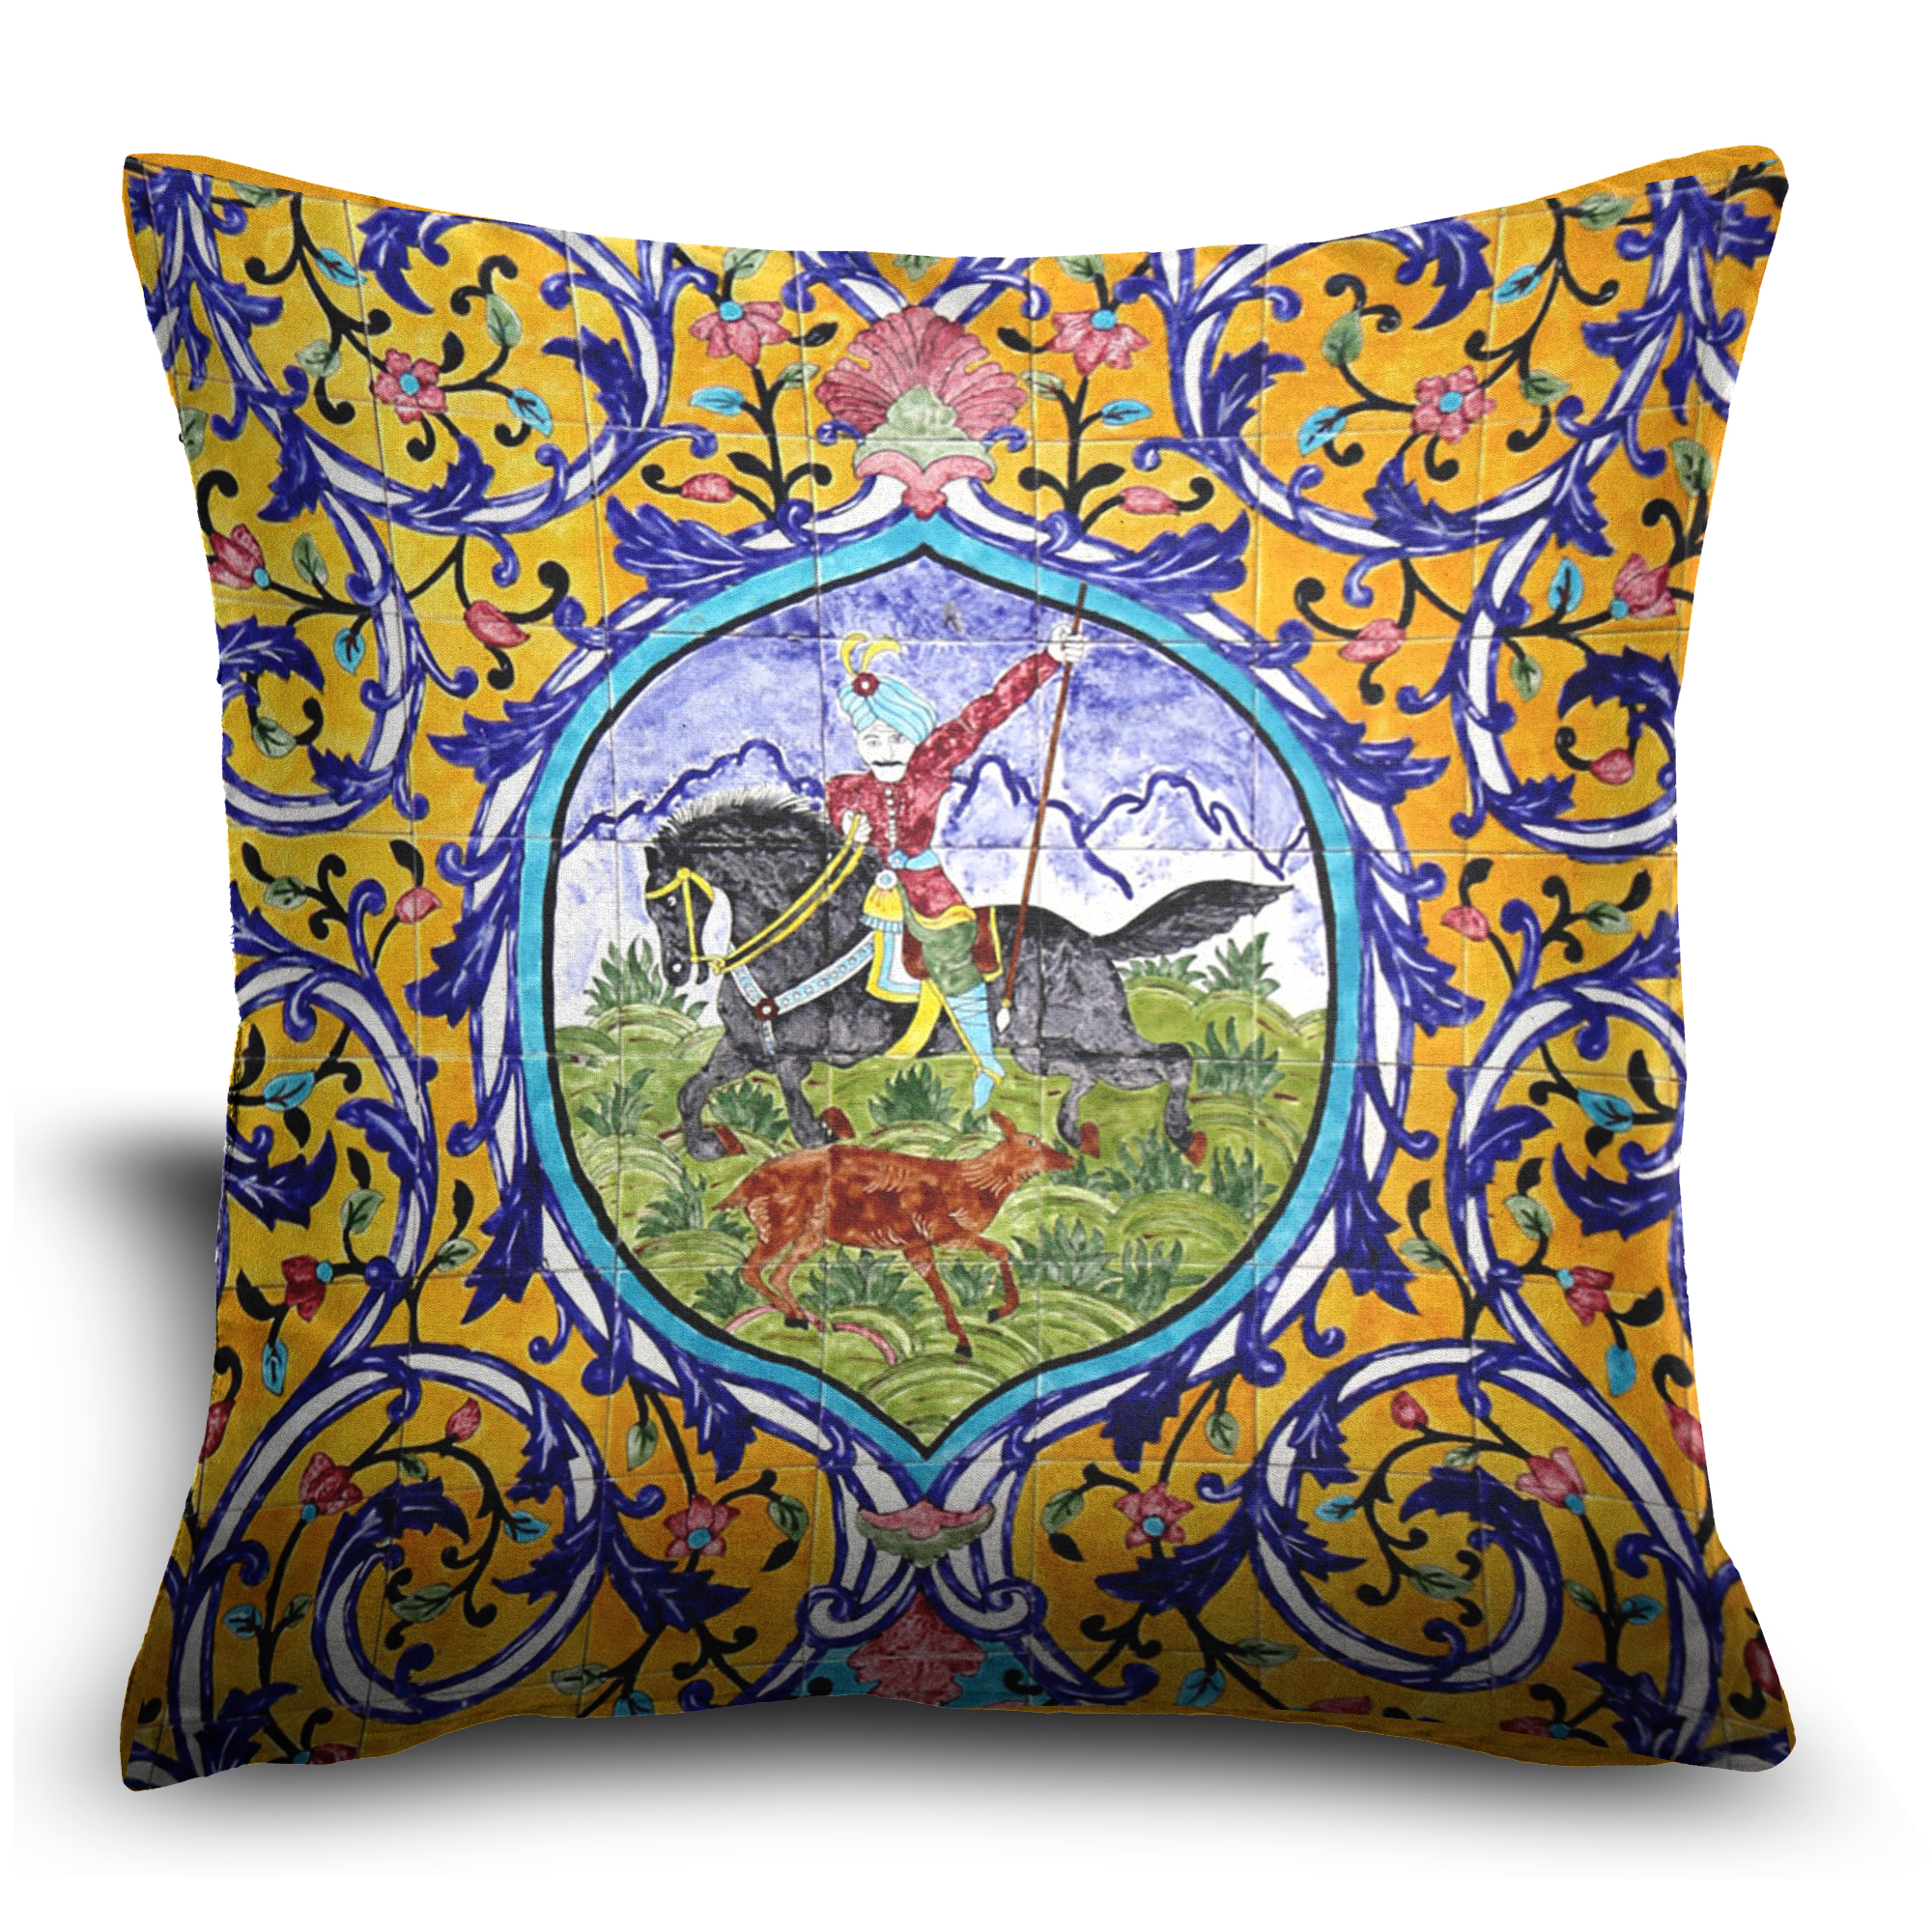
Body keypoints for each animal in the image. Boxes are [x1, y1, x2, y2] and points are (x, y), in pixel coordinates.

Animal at [638, 788, 1286, 1162]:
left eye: (668, 902)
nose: (677, 970)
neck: (801, 940)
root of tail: (1090, 940)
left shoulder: (815, 1047)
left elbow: (793, 1088)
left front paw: (815, 1138)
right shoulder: (744, 1046)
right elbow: (692, 1088)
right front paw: (703, 1146)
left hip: (1100, 1035)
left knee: (1174, 1058)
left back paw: (1179, 1133)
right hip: (1041, 1048)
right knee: (1086, 1074)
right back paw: (1073, 1131)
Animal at [718, 1112, 1076, 1359]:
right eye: (1030, 1141)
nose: (1069, 1158)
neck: (969, 1190)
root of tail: (741, 1189)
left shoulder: (916, 1242)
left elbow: (945, 1284)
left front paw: (973, 1329)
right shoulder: (936, 1231)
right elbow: (996, 1252)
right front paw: (977, 1330)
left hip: (811, 1233)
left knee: (777, 1273)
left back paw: (810, 1321)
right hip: (784, 1223)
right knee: (752, 1269)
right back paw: (802, 1318)